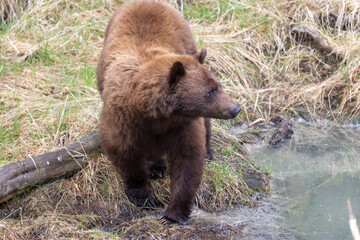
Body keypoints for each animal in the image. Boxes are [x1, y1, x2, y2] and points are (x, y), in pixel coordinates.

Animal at [97, 0, 240, 225]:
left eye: (218, 86)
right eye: (210, 91)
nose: (235, 108)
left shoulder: (182, 124)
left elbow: (187, 160)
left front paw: (173, 214)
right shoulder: (124, 117)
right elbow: (124, 150)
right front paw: (144, 196)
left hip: (190, 44)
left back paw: (207, 151)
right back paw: (156, 166)